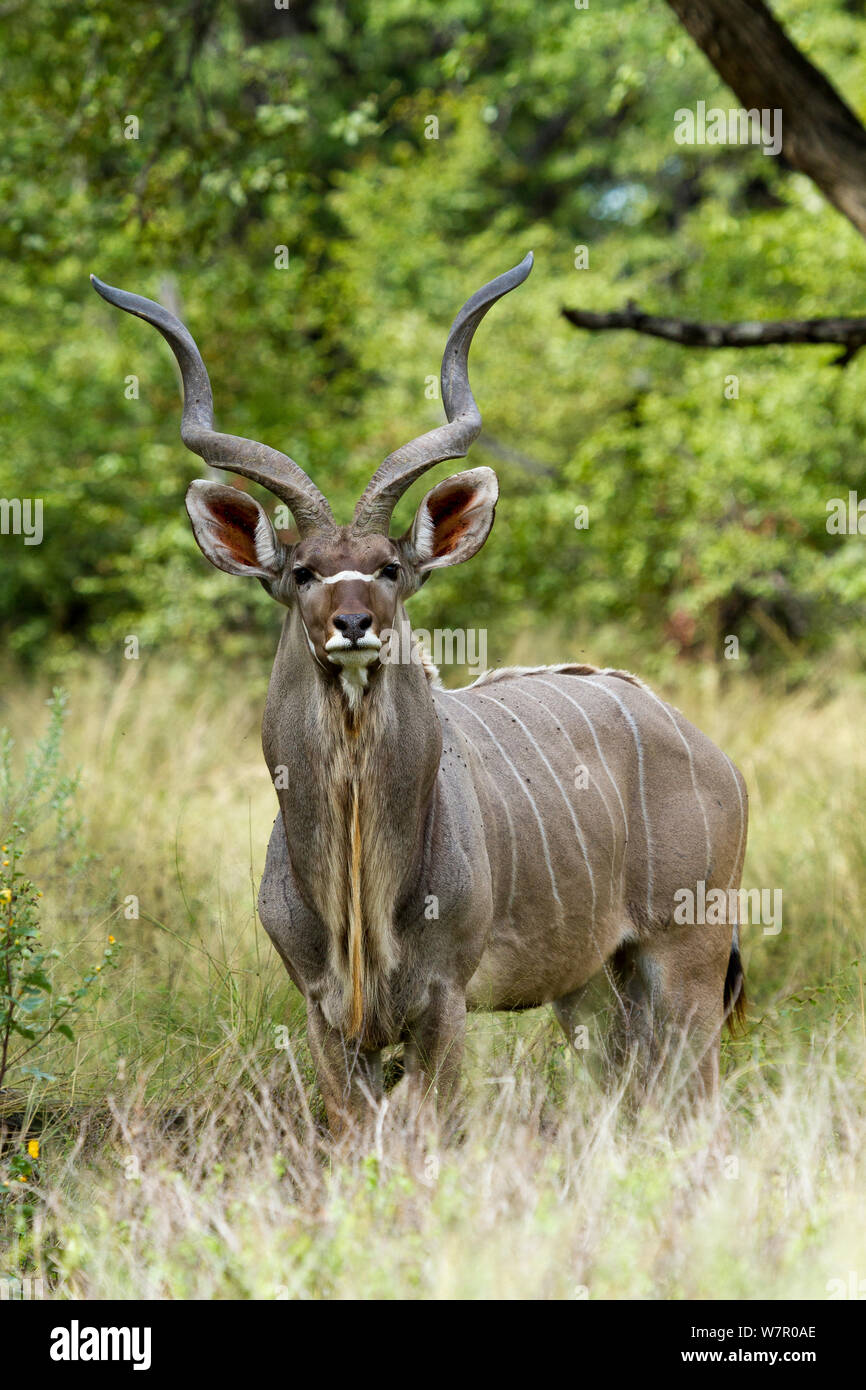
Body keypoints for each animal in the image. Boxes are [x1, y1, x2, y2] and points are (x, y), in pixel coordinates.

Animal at [93, 258, 745, 1128]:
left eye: (391, 566)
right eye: (303, 572)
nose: (353, 622)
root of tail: (711, 752)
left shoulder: (444, 1001)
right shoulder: (326, 1014)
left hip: (687, 956)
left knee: (696, 1095)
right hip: (591, 987)